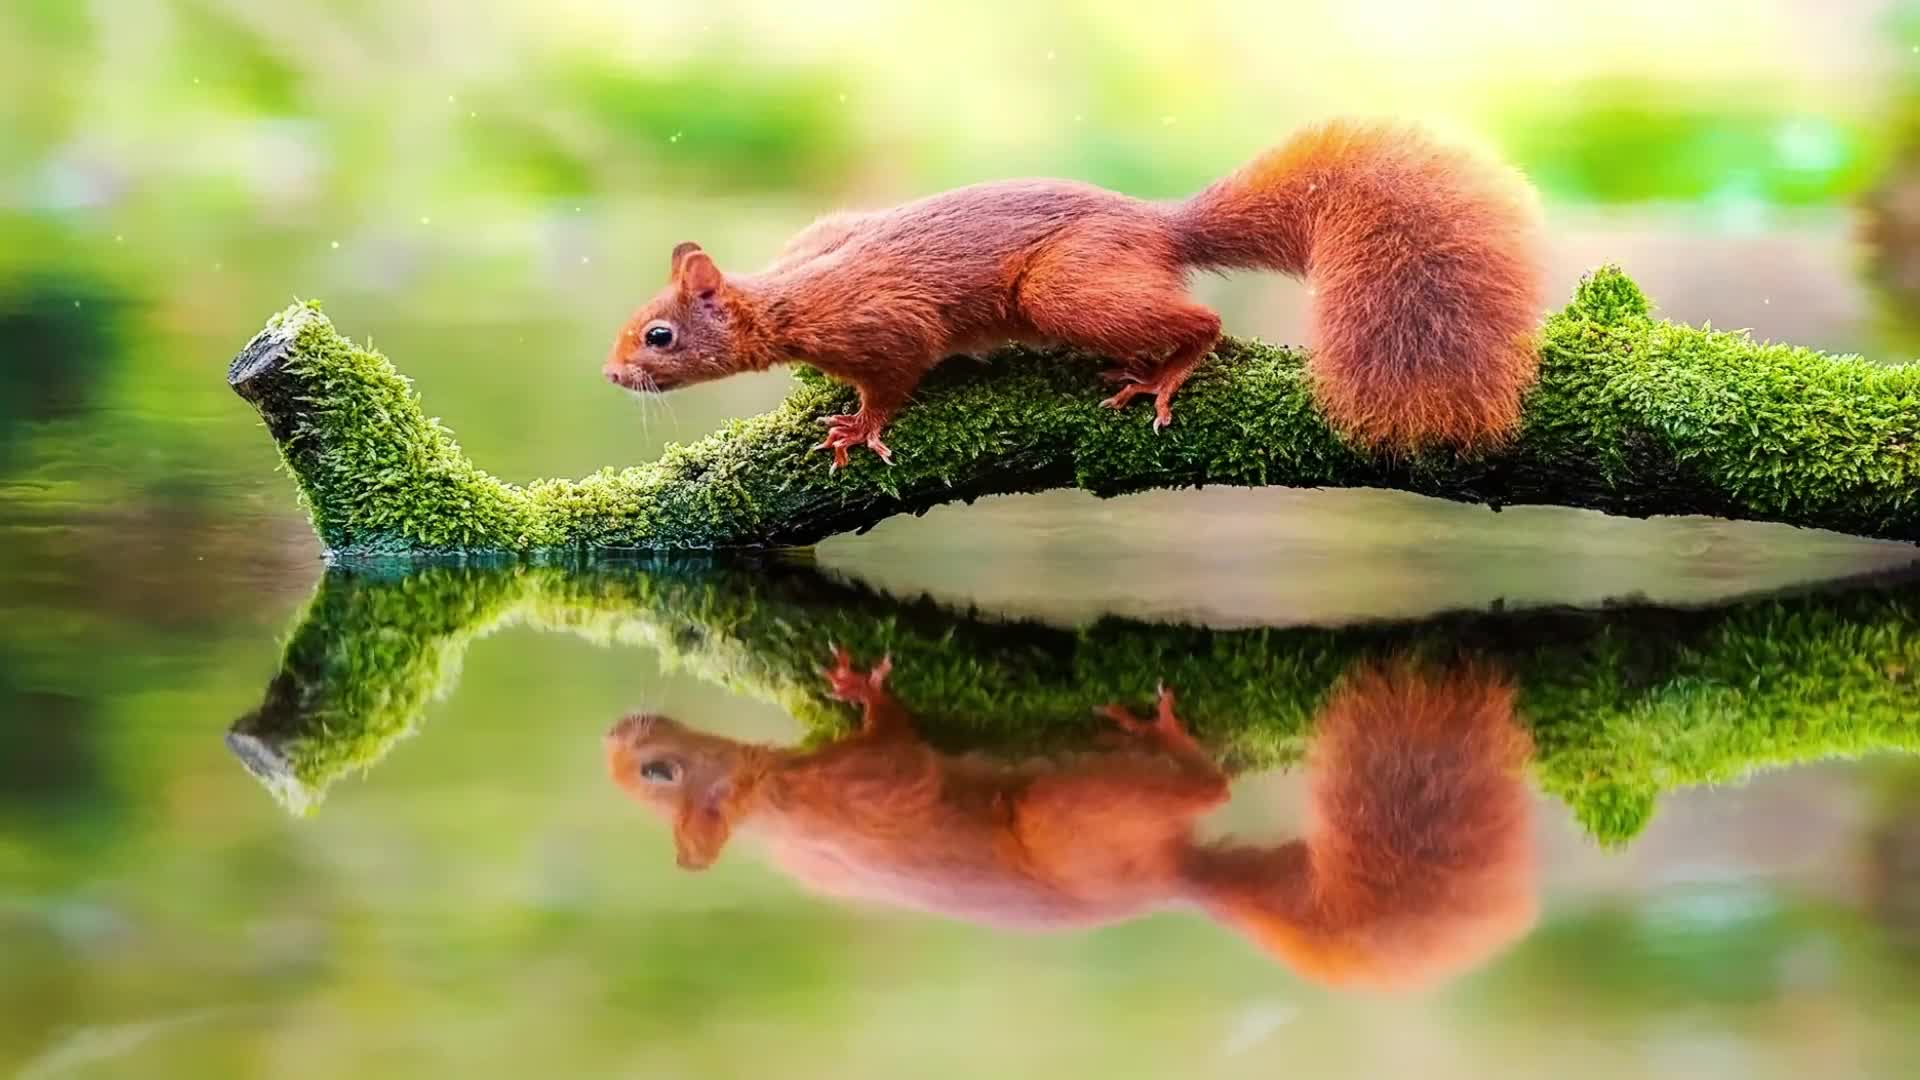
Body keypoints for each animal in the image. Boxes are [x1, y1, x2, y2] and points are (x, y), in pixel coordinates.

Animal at [604, 120, 1544, 468]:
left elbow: (896, 374)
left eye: (659, 336)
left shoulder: (881, 324)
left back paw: (1166, 373)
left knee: (1201, 316)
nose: (612, 377)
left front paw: (860, 426)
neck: (788, 297)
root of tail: (1157, 224)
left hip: (1066, 288)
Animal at [604, 649, 1538, 990]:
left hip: (1074, 824)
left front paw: (864, 692)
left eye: (660, 774)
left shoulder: (860, 794)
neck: (774, 801)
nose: (617, 737)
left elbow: (896, 757)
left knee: (1200, 796)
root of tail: (1166, 881)